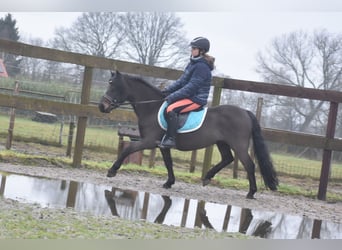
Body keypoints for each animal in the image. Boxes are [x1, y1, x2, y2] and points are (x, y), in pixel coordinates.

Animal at [98, 71, 278, 199]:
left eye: (113, 86)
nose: (102, 106)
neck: (152, 108)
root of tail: (245, 112)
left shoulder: (148, 141)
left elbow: (128, 150)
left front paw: (112, 171)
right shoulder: (162, 145)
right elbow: (168, 163)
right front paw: (169, 182)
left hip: (238, 144)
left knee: (249, 165)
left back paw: (251, 193)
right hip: (222, 142)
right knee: (228, 158)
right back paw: (207, 177)